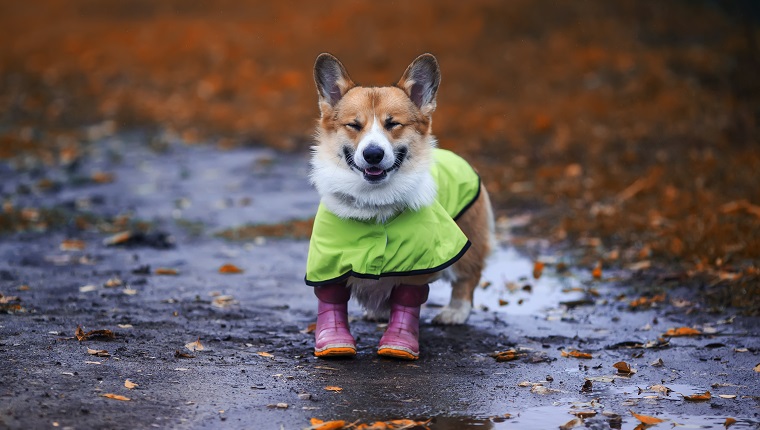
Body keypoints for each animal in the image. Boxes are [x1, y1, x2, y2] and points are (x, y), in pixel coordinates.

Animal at [306, 52, 496, 360]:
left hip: (468, 238)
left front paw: (400, 342)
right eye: (354, 125)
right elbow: (331, 297)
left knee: (467, 278)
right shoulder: (328, 259)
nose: (373, 154)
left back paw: (455, 312)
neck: (374, 202)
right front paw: (333, 341)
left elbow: (408, 301)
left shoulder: (420, 262)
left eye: (393, 124)